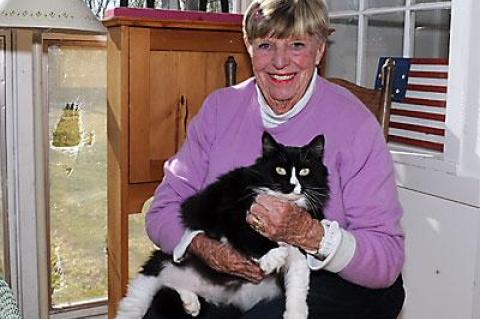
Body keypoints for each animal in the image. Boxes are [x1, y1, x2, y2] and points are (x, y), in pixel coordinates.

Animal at [115, 132, 330, 319]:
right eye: (280, 170)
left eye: (304, 171)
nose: (293, 186)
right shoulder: (229, 212)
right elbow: (247, 233)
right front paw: (272, 255)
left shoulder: (297, 240)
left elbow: (299, 283)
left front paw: (296, 314)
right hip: (159, 269)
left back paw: (191, 303)